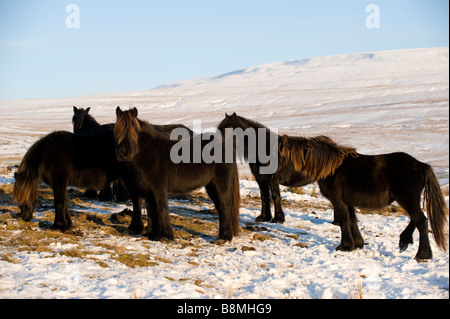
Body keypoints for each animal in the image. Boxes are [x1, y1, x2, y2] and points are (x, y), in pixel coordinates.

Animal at [114, 107, 241, 242]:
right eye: (118, 130)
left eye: (134, 129)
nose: (124, 152)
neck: (148, 153)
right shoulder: (146, 190)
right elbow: (151, 210)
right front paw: (152, 234)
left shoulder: (158, 188)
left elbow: (161, 208)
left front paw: (165, 236)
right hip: (211, 186)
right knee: (220, 207)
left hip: (220, 185)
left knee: (224, 206)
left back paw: (224, 237)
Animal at [280, 134, 448, 262]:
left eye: (282, 156)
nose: (278, 177)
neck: (331, 168)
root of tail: (421, 165)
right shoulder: (347, 201)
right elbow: (352, 220)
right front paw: (357, 244)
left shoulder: (338, 201)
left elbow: (343, 220)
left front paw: (344, 246)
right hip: (409, 200)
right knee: (417, 219)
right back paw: (405, 241)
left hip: (408, 199)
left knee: (421, 221)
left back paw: (422, 255)